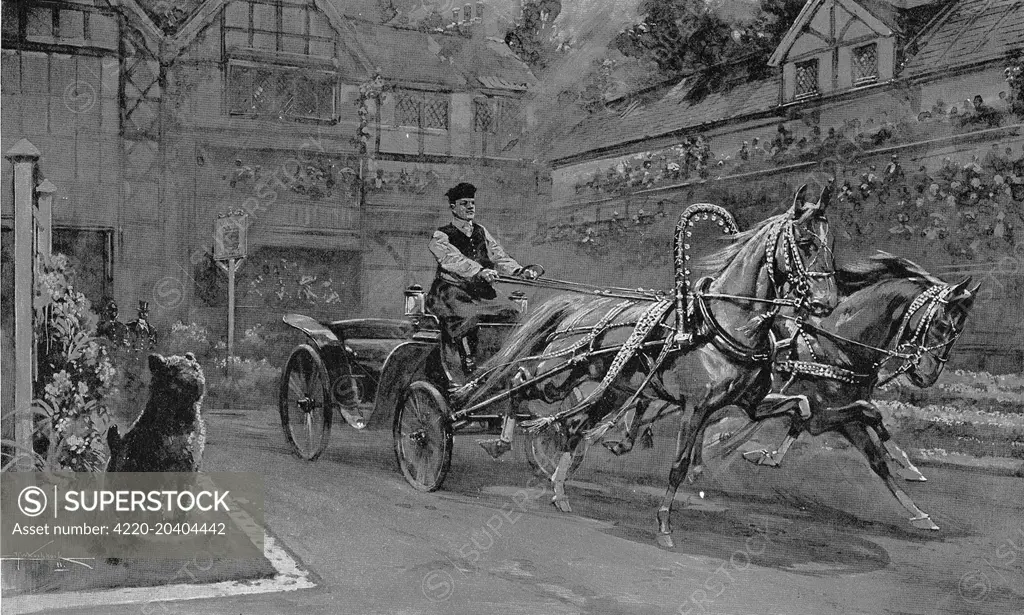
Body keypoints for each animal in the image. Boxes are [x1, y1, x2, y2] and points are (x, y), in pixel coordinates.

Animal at [468, 183, 835, 548]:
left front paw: (764, 456)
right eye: (805, 243)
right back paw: (501, 442)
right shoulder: (694, 408)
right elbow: (678, 465)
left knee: (574, 427)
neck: (720, 326)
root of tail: (578, 306)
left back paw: (559, 490)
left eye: (829, 243)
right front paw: (664, 525)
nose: (827, 303)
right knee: (519, 380)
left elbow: (802, 407)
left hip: (613, 390)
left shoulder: (751, 404)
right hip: (557, 377)